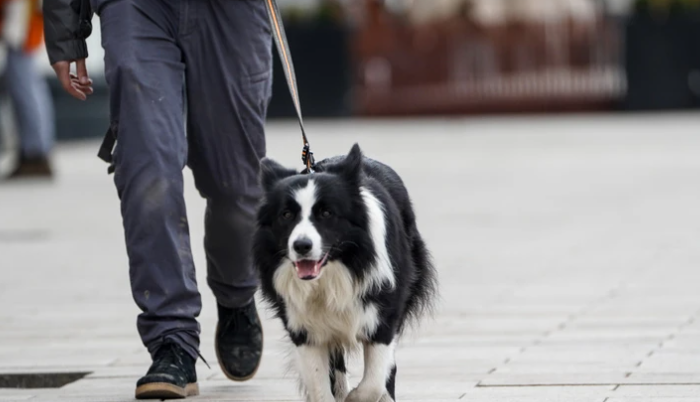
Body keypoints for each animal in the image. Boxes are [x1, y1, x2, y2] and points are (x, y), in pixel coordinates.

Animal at [252, 143, 438, 400]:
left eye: (327, 213)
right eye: (286, 215)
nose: (301, 246)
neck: (334, 271)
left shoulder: (382, 312)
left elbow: (373, 382)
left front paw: (356, 396)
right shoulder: (302, 325)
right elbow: (319, 384)